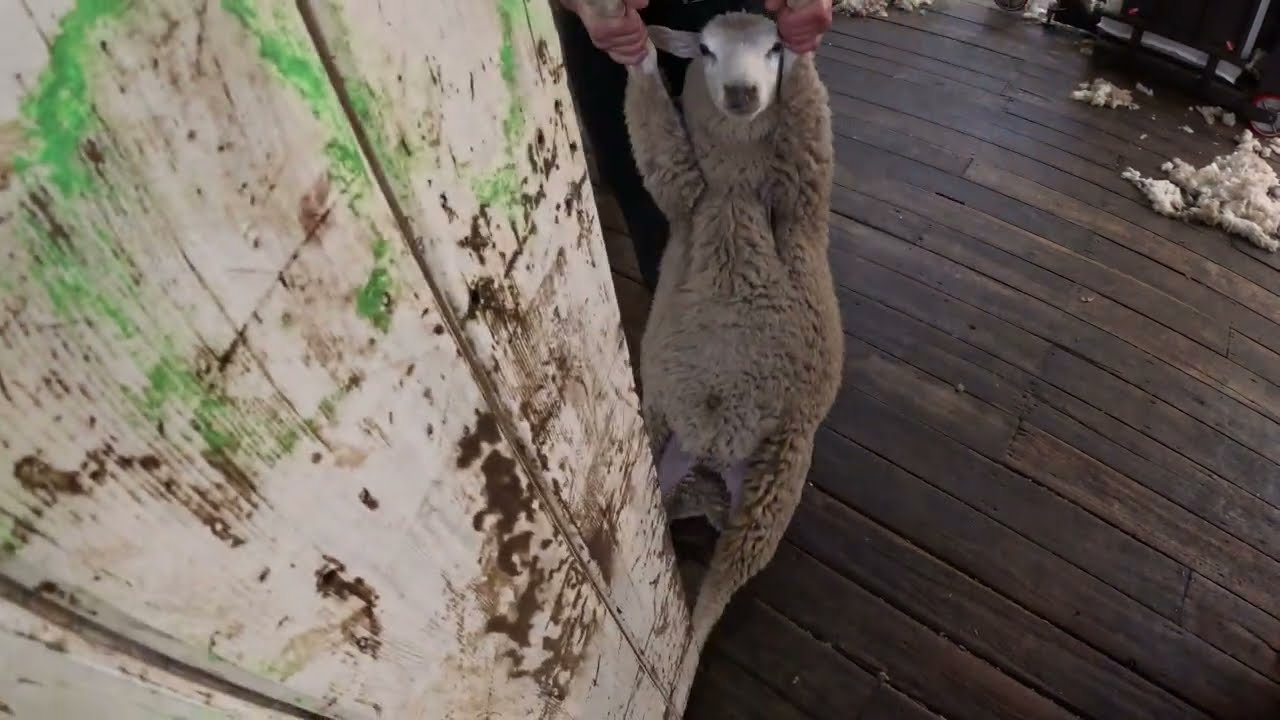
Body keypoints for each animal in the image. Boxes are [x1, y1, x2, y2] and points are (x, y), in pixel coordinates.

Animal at [616, 3, 844, 705]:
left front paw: (805, 42)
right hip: (661, 449)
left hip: (770, 496)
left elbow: (807, 109)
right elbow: (652, 129)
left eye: (771, 49)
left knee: (717, 593)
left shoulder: (803, 187)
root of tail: (714, 465)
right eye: (708, 53)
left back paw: (682, 667)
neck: (736, 194)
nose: (742, 95)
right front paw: (627, 39)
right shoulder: (682, 191)